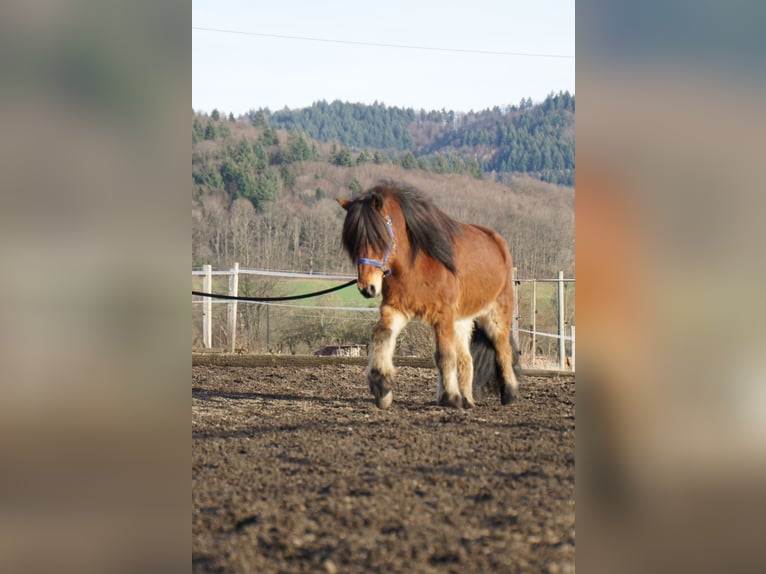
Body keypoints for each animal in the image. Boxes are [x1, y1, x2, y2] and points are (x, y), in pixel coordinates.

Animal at [340, 182, 524, 408]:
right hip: (462, 321)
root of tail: (499, 244)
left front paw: (450, 397)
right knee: (466, 359)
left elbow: (444, 356)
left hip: (496, 316)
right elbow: (382, 336)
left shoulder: (442, 316)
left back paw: (509, 395)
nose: (367, 288)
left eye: (378, 238)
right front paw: (382, 386)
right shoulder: (396, 309)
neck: (416, 266)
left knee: (503, 351)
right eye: (353, 243)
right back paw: (468, 400)